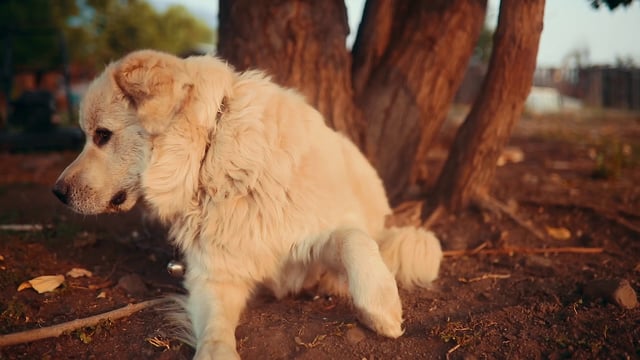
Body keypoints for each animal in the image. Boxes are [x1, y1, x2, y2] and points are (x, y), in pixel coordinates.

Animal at [52, 49, 442, 358]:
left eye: (102, 135)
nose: (58, 193)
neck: (213, 158)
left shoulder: (316, 237)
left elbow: (353, 239)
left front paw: (382, 307)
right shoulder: (215, 276)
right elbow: (214, 333)